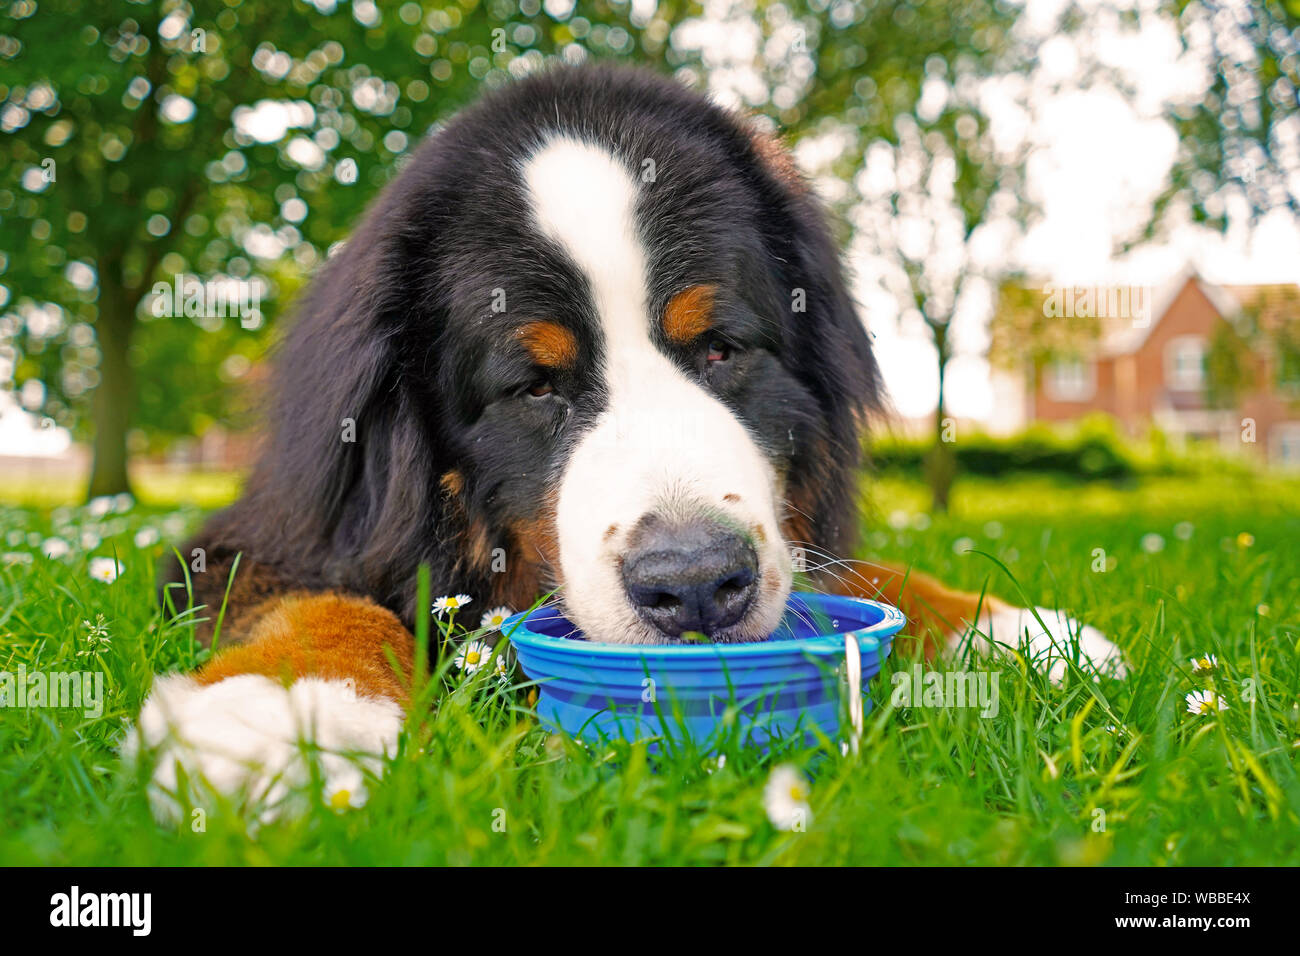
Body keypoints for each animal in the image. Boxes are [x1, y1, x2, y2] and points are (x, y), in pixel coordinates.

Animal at [129, 63, 1128, 822]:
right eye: (536, 385)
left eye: (720, 347)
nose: (694, 584)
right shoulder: (260, 540)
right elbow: (327, 606)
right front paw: (280, 715)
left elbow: (862, 575)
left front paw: (1008, 628)